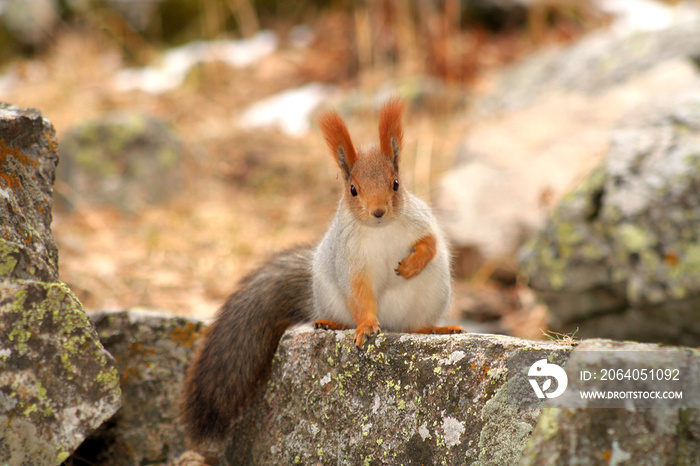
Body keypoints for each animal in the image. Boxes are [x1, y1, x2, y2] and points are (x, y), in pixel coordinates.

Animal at [183, 98, 462, 444]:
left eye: (396, 184)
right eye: (353, 189)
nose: (379, 212)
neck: (380, 230)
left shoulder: (421, 223)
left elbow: (431, 244)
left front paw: (410, 265)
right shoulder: (349, 262)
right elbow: (358, 293)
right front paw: (366, 326)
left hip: (430, 297)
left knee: (416, 326)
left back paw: (436, 329)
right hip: (329, 295)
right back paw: (332, 324)